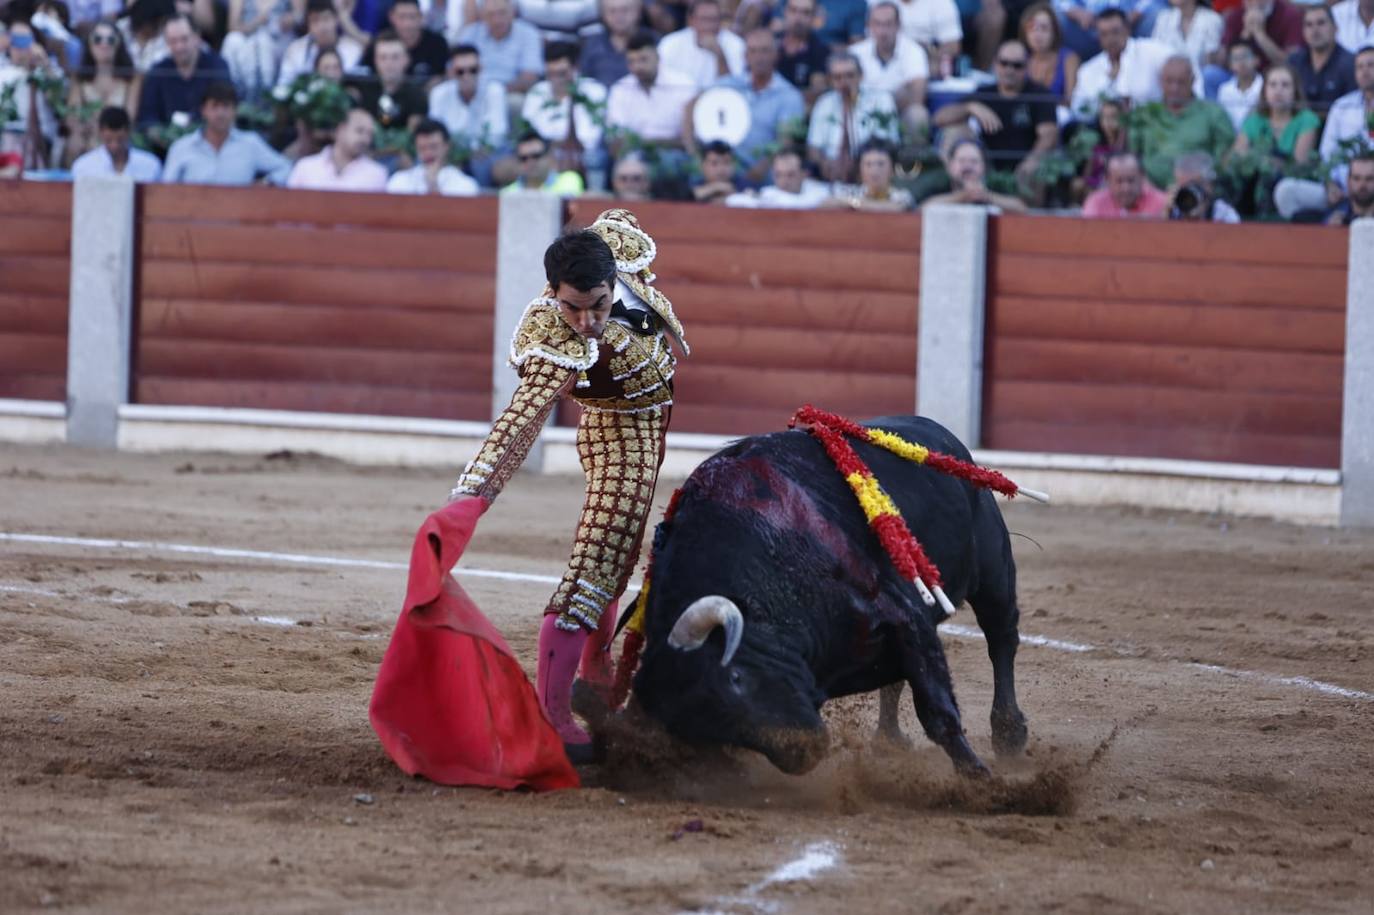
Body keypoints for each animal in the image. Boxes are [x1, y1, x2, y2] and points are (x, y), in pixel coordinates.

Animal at [629, 417, 1027, 774]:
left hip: (994, 572)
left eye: (735, 678)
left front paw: (977, 777)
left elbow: (937, 709)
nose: (803, 752)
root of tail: (944, 438)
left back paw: (1010, 735)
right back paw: (888, 740)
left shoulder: (905, 614)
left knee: (1001, 639)